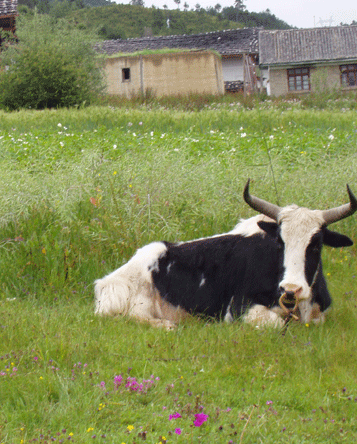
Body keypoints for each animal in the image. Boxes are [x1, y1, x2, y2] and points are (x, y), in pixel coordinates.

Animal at [93, 180, 354, 330]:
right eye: (280, 242)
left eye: (316, 244)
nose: (291, 289)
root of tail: (106, 281)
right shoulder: (239, 310)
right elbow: (277, 323)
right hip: (135, 302)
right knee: (130, 317)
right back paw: (167, 325)